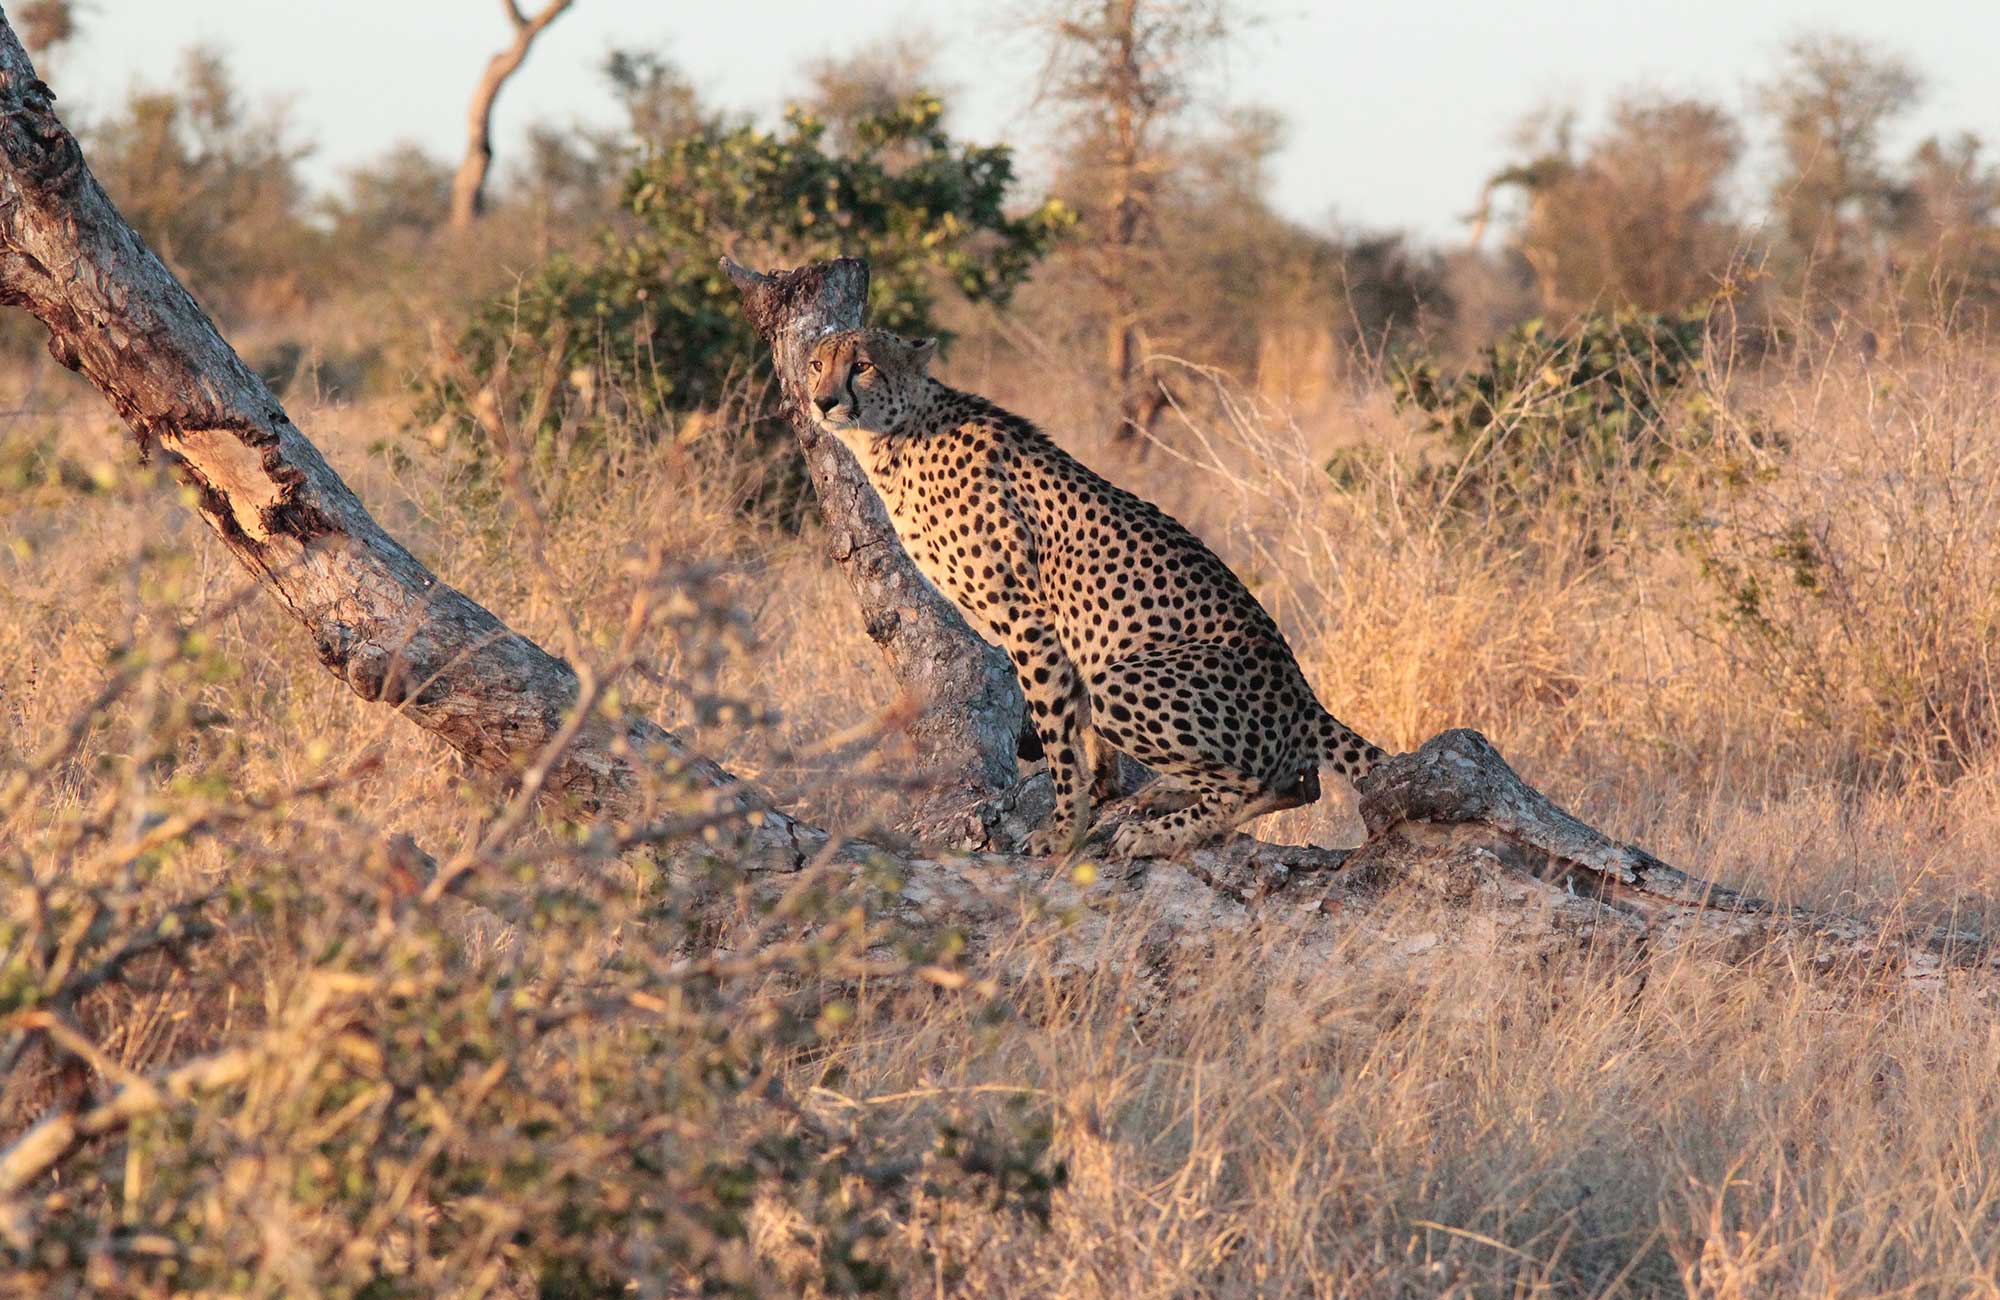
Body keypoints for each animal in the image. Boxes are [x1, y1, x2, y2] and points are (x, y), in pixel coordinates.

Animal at [806, 327, 1387, 859]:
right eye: (815, 364)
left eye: (862, 366)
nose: (822, 401)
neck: (896, 438)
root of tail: (1302, 693)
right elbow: (1080, 727)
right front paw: (1102, 788)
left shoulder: (1029, 619)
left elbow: (1057, 734)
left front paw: (1064, 830)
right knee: (1301, 781)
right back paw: (1168, 795)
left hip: (1127, 683)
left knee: (1265, 781)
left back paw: (1159, 832)